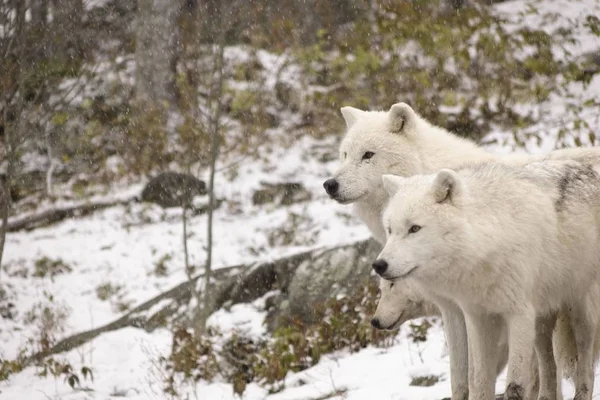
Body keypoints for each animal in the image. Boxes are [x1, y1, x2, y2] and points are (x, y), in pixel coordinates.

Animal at [376, 162, 600, 400]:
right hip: (541, 321)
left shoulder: (519, 316)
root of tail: (589, 169)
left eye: (414, 228)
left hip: (580, 313)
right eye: (390, 229)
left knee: (586, 362)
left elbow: (514, 387)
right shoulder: (478, 317)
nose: (379, 265)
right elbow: (478, 380)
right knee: (548, 364)